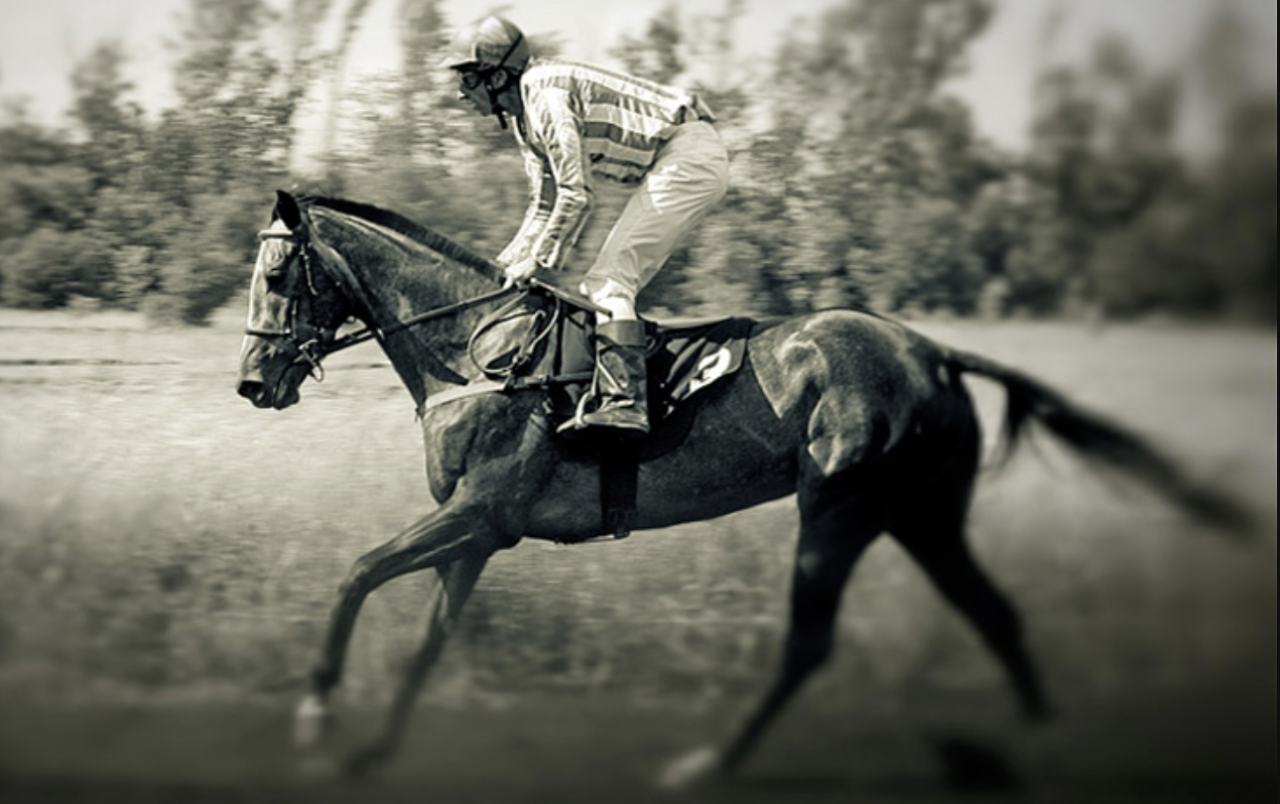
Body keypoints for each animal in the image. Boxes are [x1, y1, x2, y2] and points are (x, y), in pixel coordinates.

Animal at [235, 190, 1247, 783]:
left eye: (279, 269)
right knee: (993, 614)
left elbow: (358, 574)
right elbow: (428, 639)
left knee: (809, 642)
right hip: (922, 516)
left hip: (839, 506)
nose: (252, 383)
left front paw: (316, 712)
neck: (479, 351)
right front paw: (371, 749)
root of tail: (931, 351)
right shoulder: (480, 530)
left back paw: (711, 763)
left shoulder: (480, 512)